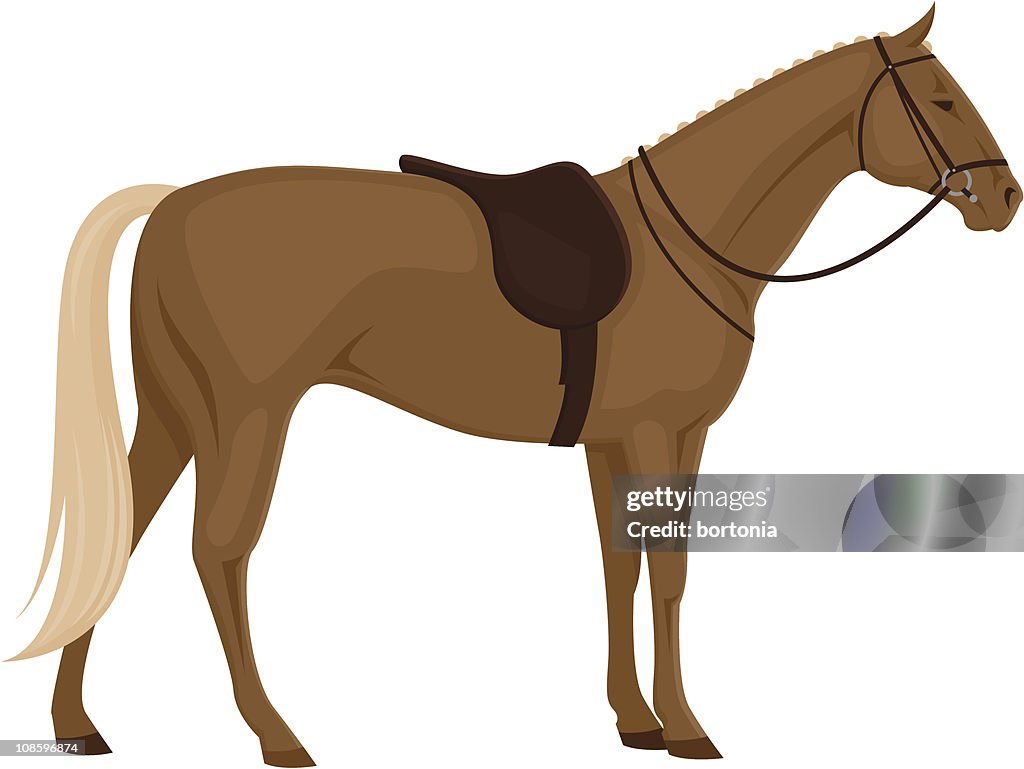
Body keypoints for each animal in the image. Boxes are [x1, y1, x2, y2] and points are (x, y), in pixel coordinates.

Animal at [7, 7, 1017, 766]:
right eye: (940, 97)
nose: (1005, 200)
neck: (688, 243)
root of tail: (169, 202)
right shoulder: (664, 435)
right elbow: (668, 570)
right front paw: (688, 727)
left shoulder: (617, 441)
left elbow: (617, 564)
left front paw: (635, 720)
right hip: (247, 414)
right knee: (219, 551)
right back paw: (277, 733)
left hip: (176, 412)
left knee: (124, 531)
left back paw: (77, 723)